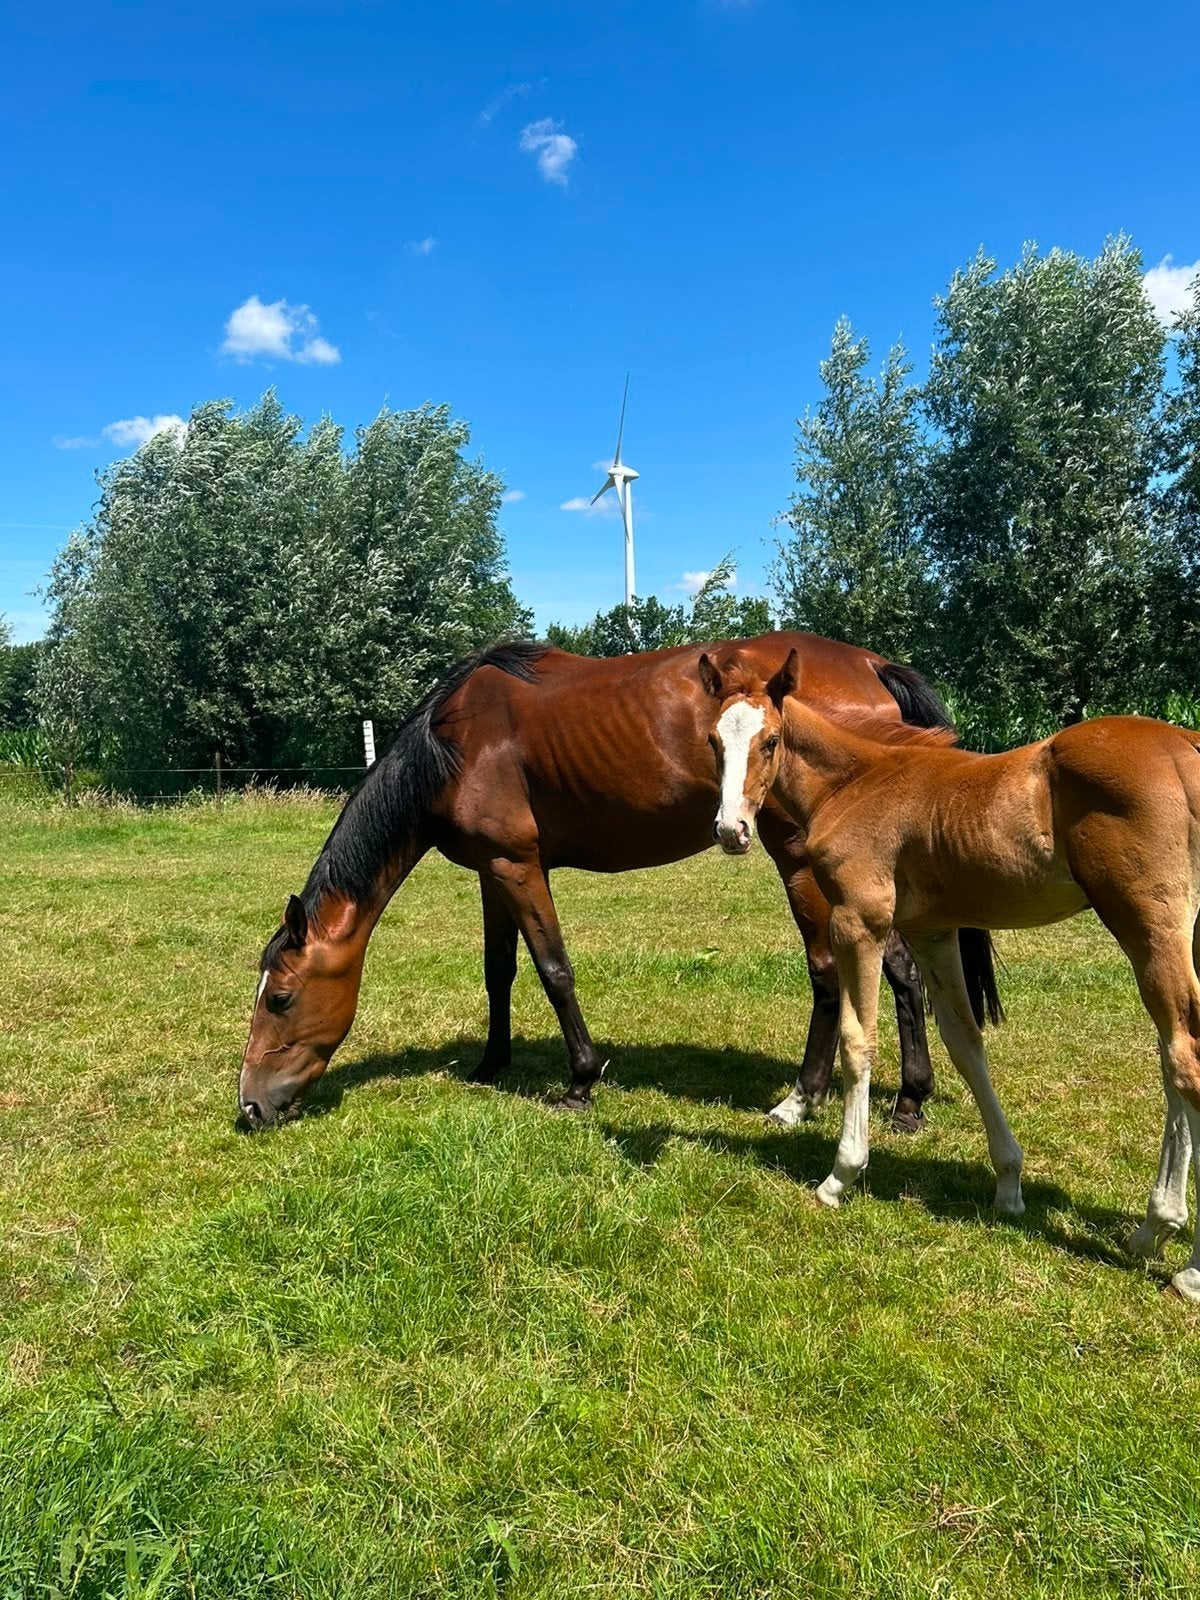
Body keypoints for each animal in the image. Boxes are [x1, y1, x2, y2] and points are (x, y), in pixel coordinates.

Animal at [239, 633, 998, 1134]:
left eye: (280, 998)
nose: (249, 1106)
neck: (454, 744)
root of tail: (870, 664)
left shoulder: (519, 866)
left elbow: (553, 970)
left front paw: (580, 1080)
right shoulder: (492, 871)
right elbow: (498, 970)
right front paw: (490, 1065)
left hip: (805, 860)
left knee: (842, 971)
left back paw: (821, 1099)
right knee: (897, 972)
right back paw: (908, 1099)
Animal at [702, 644, 1200, 1302]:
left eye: (771, 741)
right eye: (713, 740)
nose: (731, 831)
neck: (854, 781)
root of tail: (1187, 746)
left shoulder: (860, 920)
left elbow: (859, 1042)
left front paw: (841, 1175)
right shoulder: (932, 934)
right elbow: (966, 1045)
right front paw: (1009, 1184)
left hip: (1150, 926)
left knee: (1184, 1059)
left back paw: (1177, 1253)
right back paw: (1154, 1231)